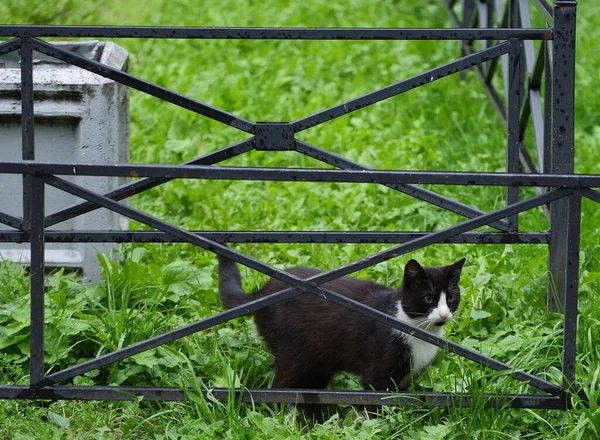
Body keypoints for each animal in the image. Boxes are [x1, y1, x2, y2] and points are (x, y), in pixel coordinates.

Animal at [218, 256, 466, 394]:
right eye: (428, 298)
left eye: (451, 298)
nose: (444, 313)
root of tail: (263, 291)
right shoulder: (377, 375)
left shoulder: (406, 379)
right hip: (293, 353)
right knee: (281, 387)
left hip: (319, 361)